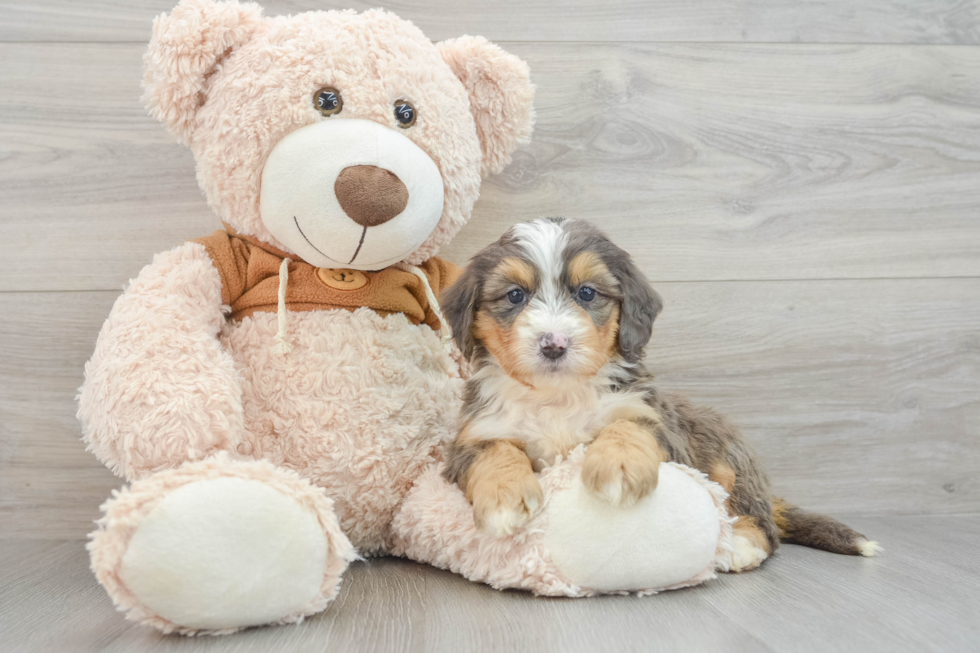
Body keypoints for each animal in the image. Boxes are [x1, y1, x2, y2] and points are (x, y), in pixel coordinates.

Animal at [440, 218, 876, 572]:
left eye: (587, 293)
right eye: (515, 295)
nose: (554, 344)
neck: (559, 397)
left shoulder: (656, 422)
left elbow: (628, 426)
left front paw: (618, 467)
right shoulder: (474, 435)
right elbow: (496, 451)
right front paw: (505, 498)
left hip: (728, 461)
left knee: (760, 522)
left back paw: (741, 545)